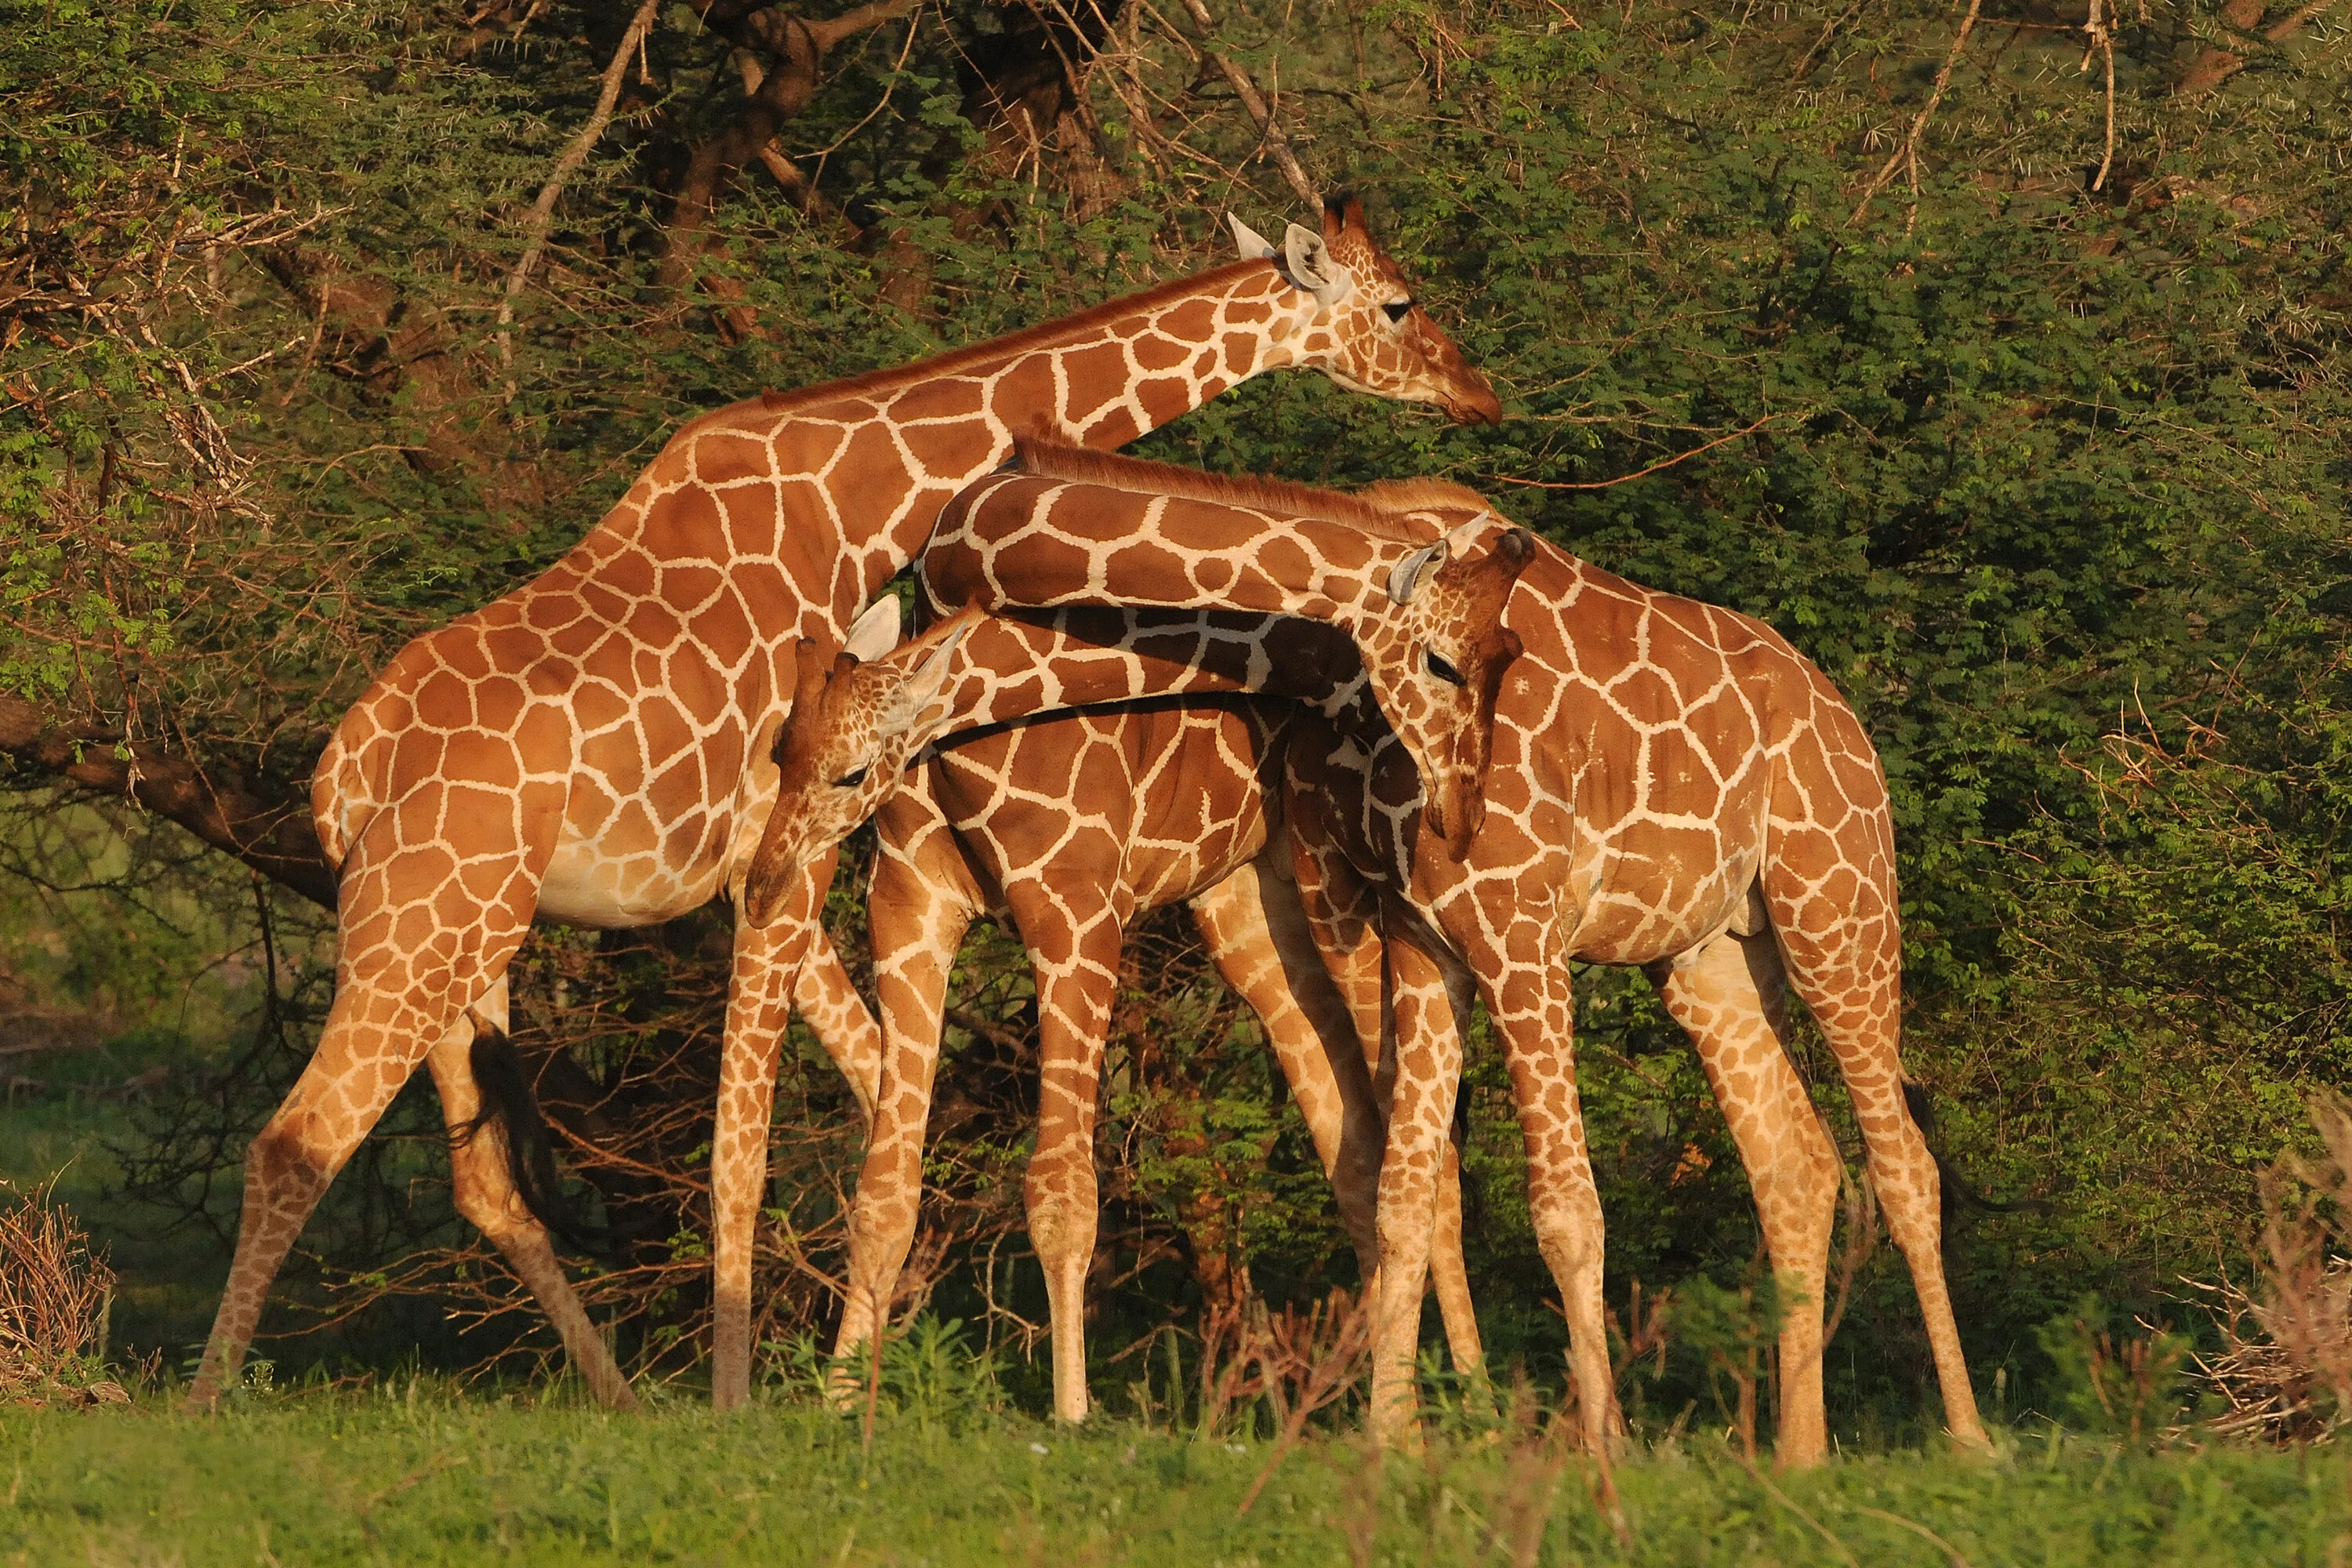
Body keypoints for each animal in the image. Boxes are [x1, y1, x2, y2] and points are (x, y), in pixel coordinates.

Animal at [748, 466, 1530, 1417]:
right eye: (780, 751)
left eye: (850, 772)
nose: (761, 887)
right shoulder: (908, 909)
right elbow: (884, 1191)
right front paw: (836, 1405)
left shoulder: (1076, 913)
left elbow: (1062, 1191)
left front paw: (1072, 1415)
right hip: (1251, 910)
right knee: (1354, 1145)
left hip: (1347, 900)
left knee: (1429, 1154)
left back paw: (1470, 1399)